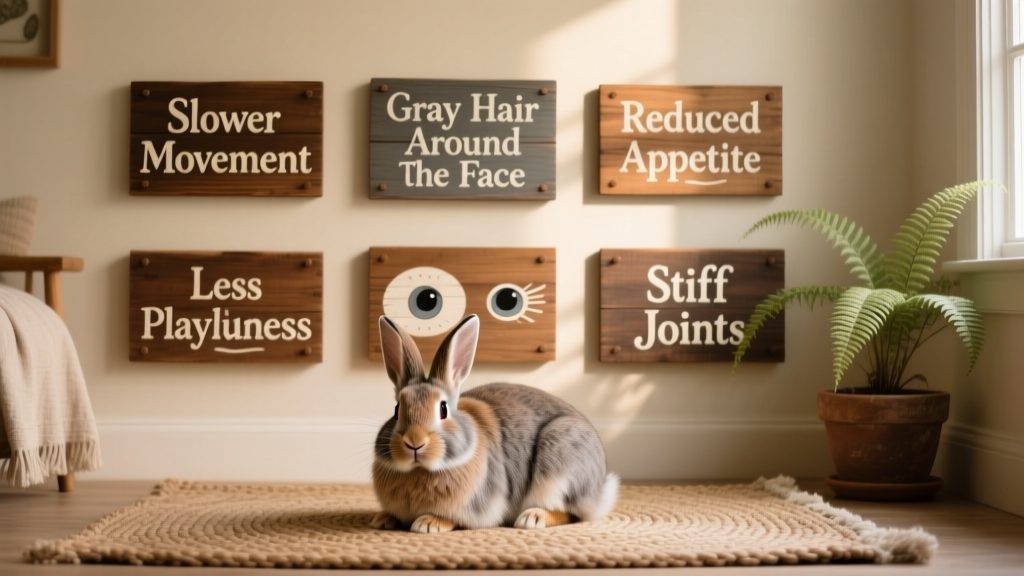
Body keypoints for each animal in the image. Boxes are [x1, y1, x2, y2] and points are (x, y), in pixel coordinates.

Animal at [370, 314, 619, 533]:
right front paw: (382, 519)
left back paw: (532, 518)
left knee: (570, 513)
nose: (414, 442)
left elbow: (453, 518)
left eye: (443, 409)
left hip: (559, 466)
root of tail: (599, 487)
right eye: (396, 410)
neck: (419, 470)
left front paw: (428, 523)